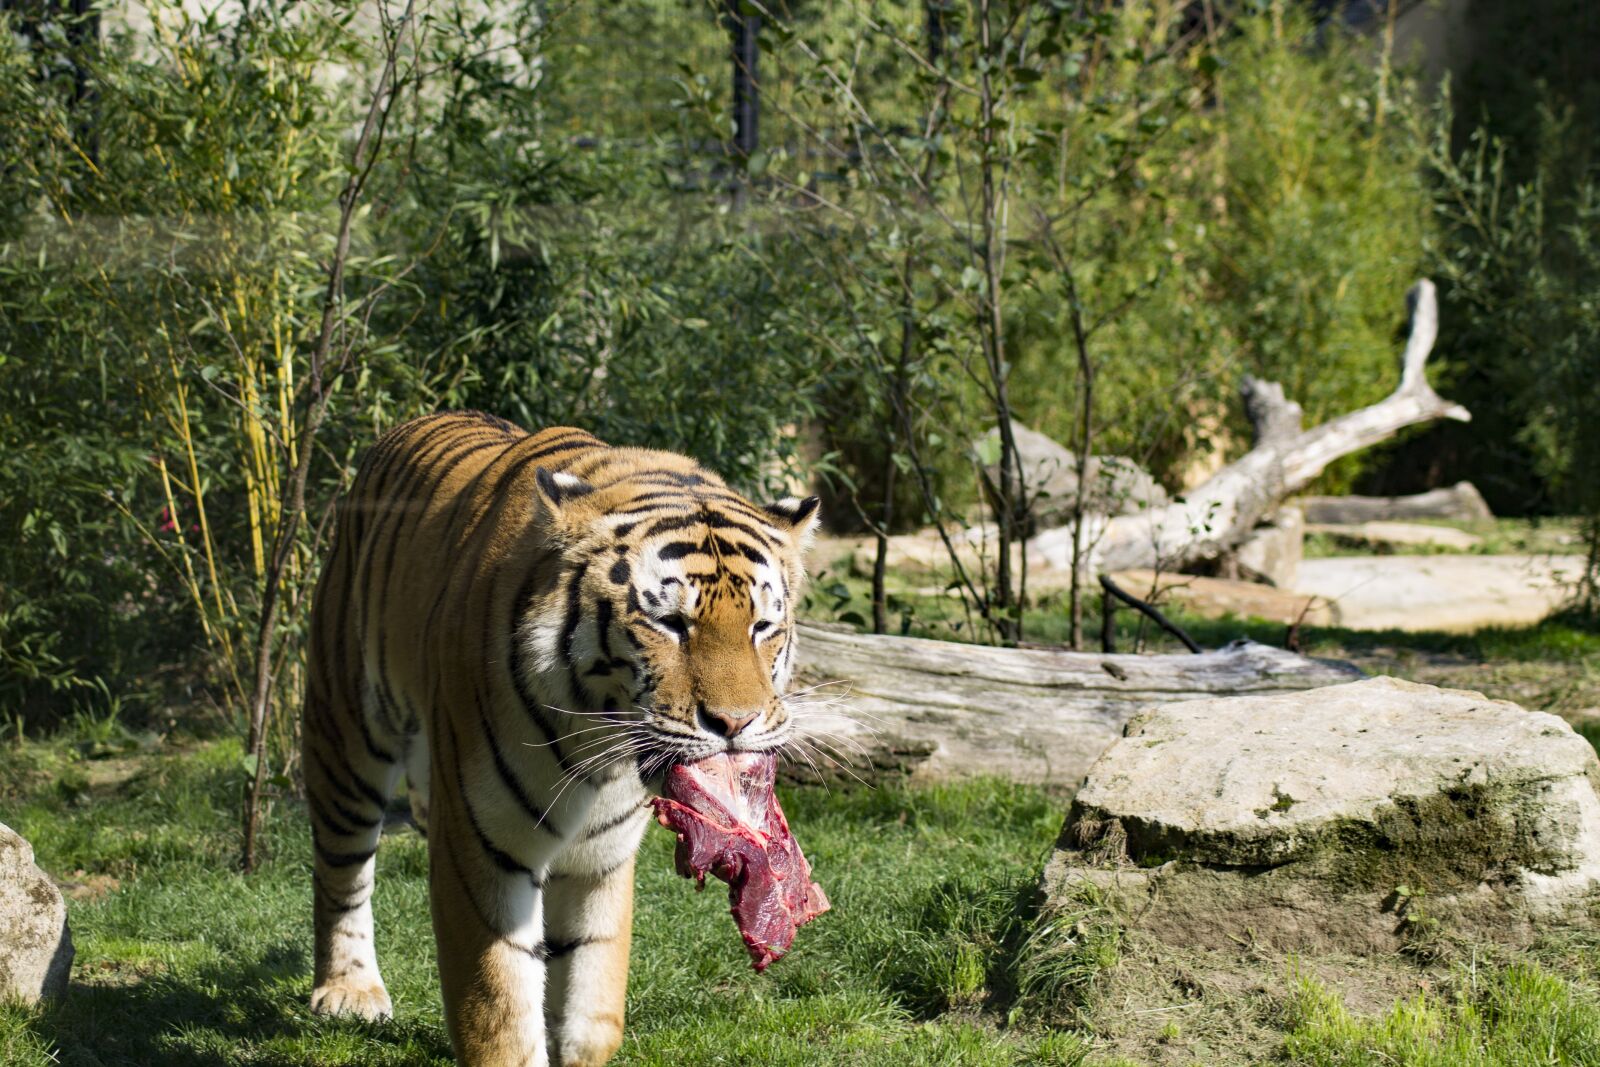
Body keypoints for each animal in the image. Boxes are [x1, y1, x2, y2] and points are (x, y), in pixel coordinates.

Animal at [300, 415, 819, 1067]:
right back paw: (347, 991)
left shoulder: (602, 855)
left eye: (762, 626)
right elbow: (498, 1011)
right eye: (670, 623)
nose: (735, 724)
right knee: (341, 873)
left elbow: (591, 995)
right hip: (346, 736)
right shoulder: (482, 845)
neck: (598, 751)